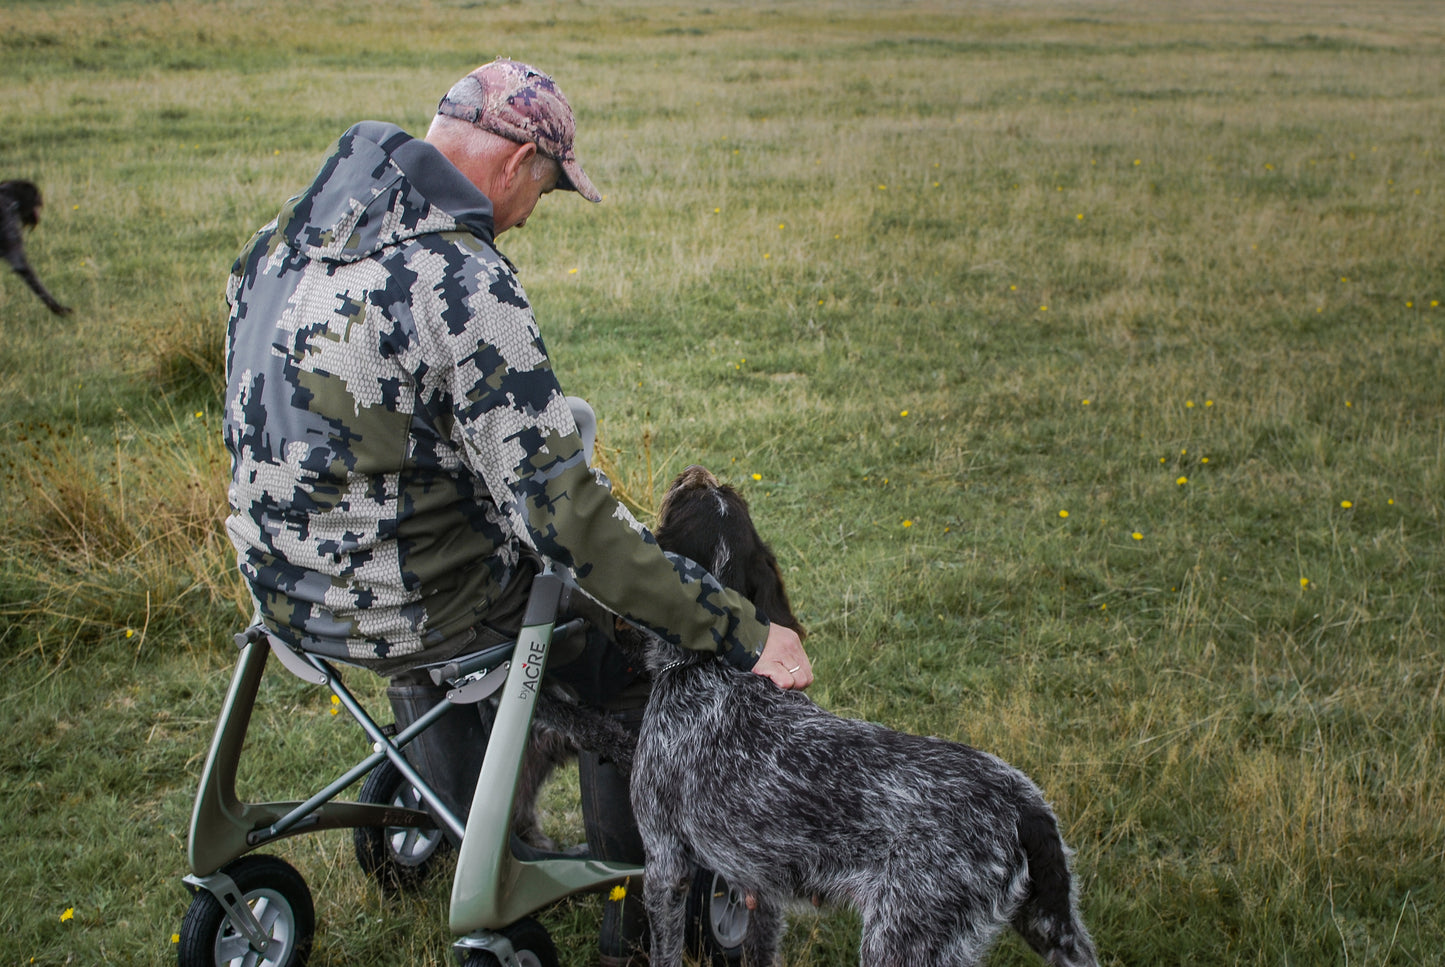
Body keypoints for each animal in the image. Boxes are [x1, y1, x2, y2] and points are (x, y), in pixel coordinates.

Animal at [632, 465, 1092, 965]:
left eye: (687, 494)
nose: (696, 471)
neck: (711, 667)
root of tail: (1026, 805)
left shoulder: (664, 864)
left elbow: (665, 951)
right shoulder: (761, 887)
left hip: (903, 938)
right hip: (1052, 926)